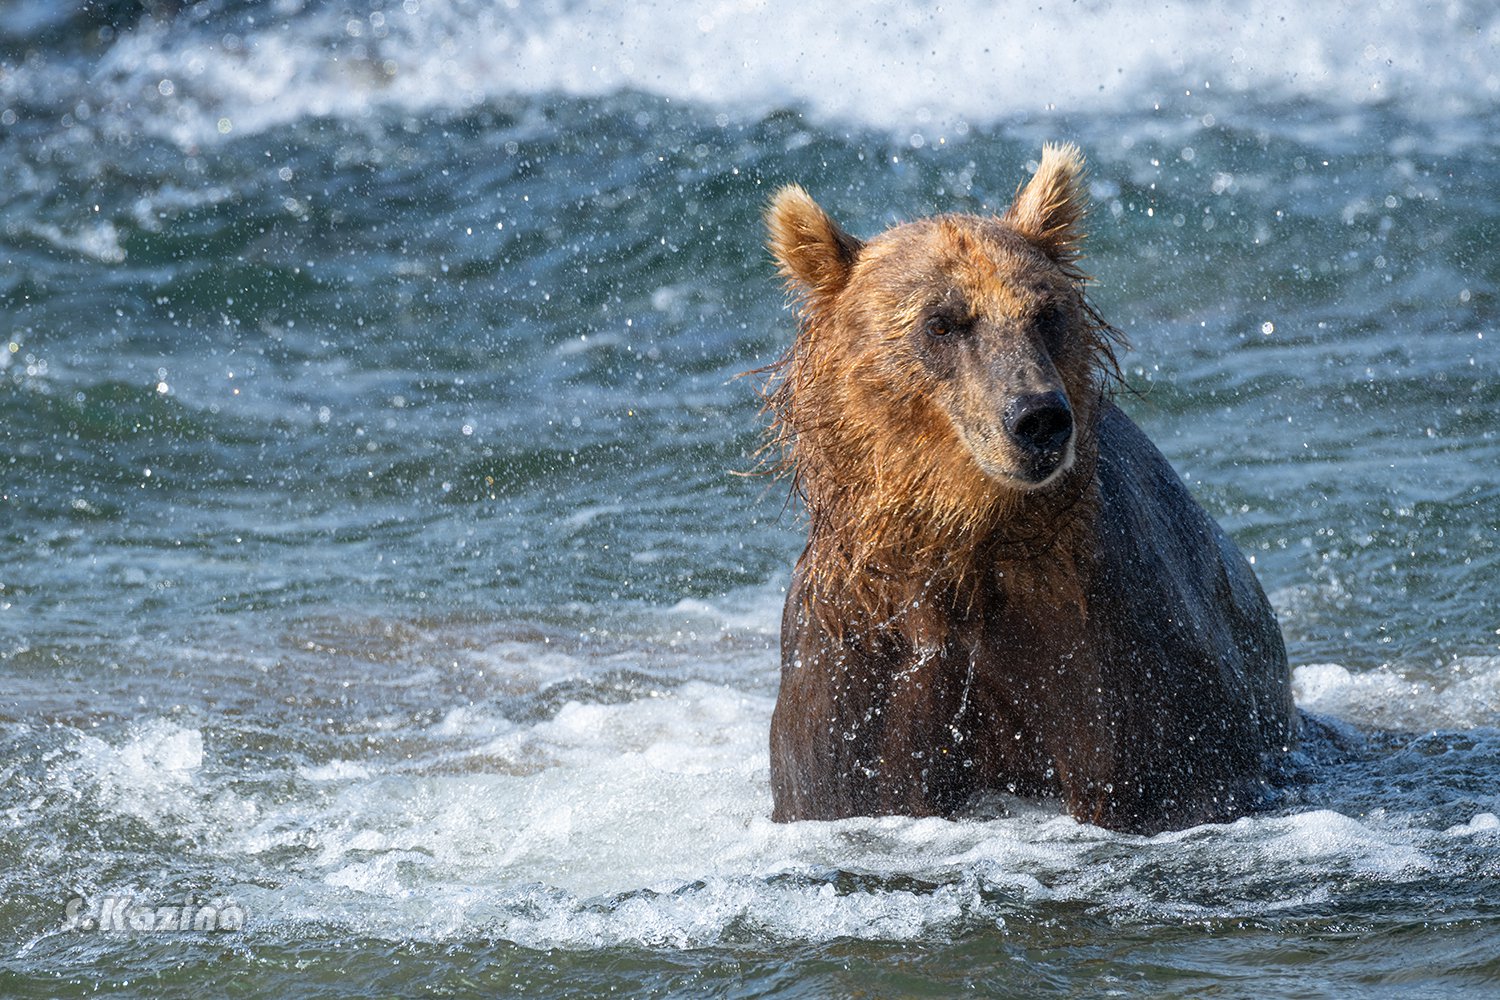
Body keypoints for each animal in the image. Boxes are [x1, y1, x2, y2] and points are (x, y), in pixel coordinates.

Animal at [762, 144, 1302, 839]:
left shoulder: (1118, 652)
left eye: (1046, 313)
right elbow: (845, 781)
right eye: (943, 322)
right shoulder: (857, 664)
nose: (1038, 416)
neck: (970, 547)